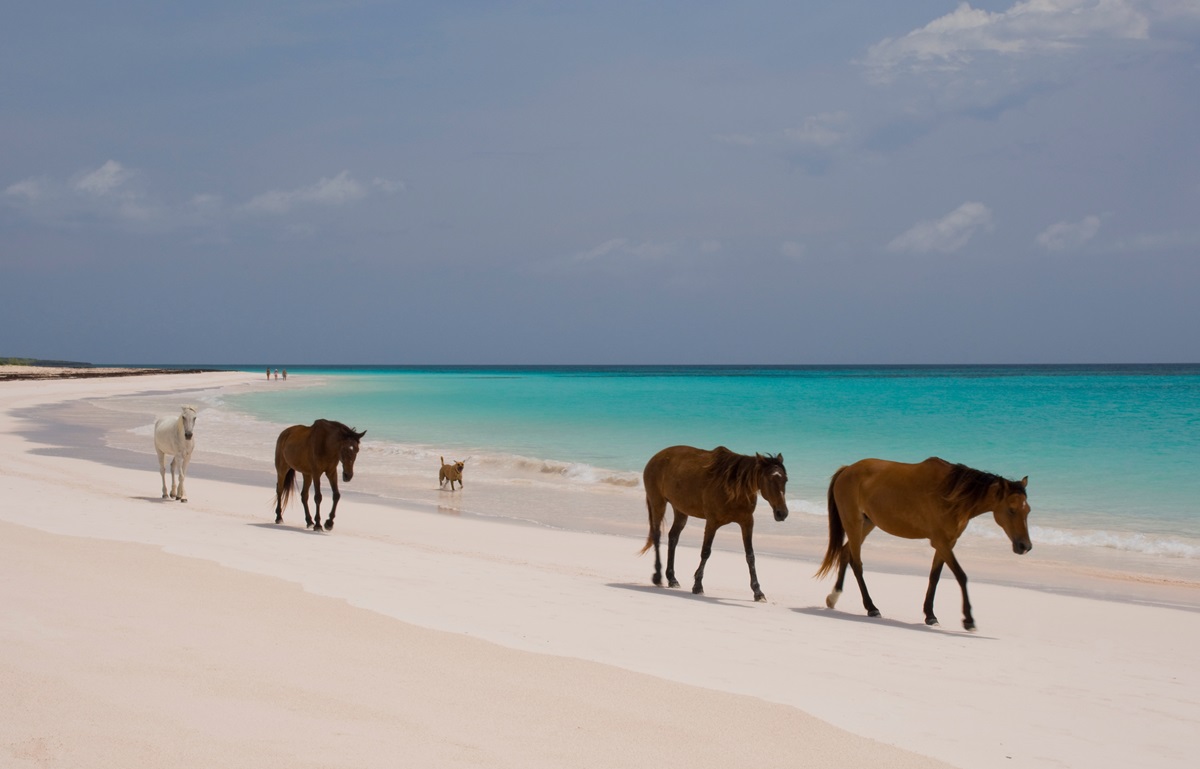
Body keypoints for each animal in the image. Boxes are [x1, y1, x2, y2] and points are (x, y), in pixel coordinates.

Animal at [643, 443, 792, 599]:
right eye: (769, 479)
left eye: (785, 480)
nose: (782, 513)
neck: (734, 488)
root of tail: (655, 457)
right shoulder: (712, 523)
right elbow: (705, 552)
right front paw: (697, 585)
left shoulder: (747, 522)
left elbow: (750, 556)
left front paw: (758, 592)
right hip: (658, 503)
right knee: (657, 535)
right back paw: (657, 576)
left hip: (680, 510)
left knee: (673, 538)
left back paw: (672, 579)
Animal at [816, 455, 1032, 628]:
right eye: (1011, 510)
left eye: (1028, 510)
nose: (1025, 546)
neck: (952, 495)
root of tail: (846, 469)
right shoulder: (941, 542)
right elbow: (961, 576)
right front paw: (968, 620)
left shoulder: (948, 543)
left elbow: (934, 577)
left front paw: (930, 615)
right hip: (853, 523)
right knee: (857, 563)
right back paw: (871, 607)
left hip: (867, 524)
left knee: (845, 553)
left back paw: (833, 597)